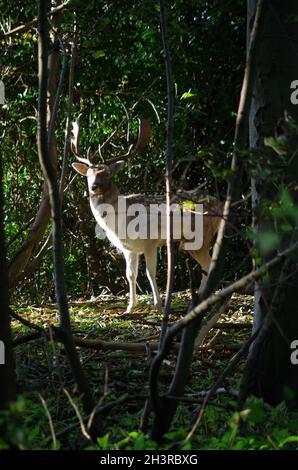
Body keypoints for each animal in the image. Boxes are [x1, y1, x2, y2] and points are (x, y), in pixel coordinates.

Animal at [71, 116, 222, 314]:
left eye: (108, 174)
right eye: (88, 174)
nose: (93, 187)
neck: (120, 222)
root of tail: (221, 206)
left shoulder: (150, 242)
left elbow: (150, 273)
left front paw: (158, 304)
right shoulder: (129, 248)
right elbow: (130, 274)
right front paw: (130, 307)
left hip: (199, 238)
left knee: (210, 265)